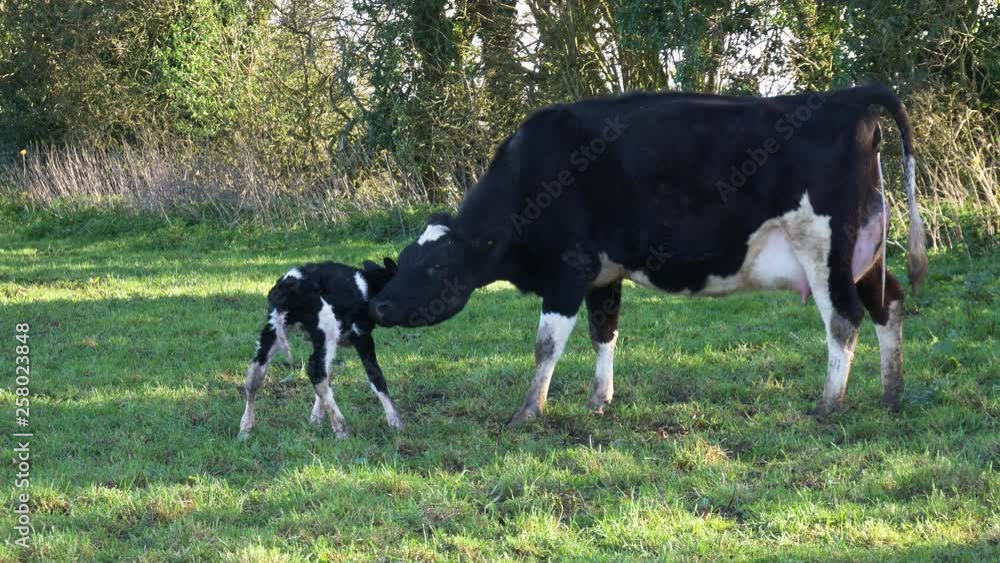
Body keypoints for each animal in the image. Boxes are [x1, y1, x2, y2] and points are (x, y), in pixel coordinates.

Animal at [238, 258, 402, 440]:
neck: (369, 285)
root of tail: (289, 283)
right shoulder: (361, 334)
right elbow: (375, 376)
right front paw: (395, 421)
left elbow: (329, 375)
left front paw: (315, 419)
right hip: (327, 328)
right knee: (315, 371)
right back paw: (341, 427)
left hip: (272, 331)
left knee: (255, 374)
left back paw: (245, 427)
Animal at [369, 83, 927, 425]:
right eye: (401, 261)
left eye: (436, 266)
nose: (378, 305)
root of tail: (847, 97)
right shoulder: (602, 274)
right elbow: (604, 333)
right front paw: (598, 400)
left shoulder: (568, 270)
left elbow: (546, 345)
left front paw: (528, 410)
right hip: (865, 252)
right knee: (889, 303)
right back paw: (892, 393)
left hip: (825, 246)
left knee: (844, 318)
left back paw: (829, 404)